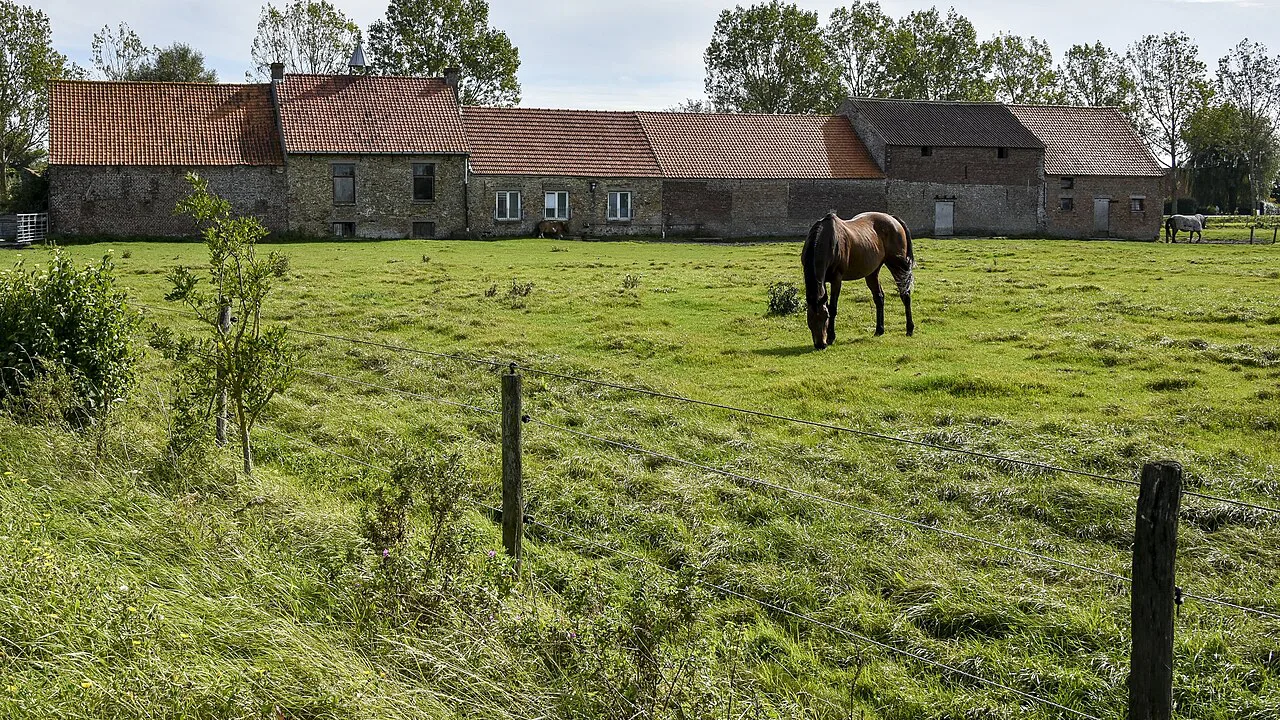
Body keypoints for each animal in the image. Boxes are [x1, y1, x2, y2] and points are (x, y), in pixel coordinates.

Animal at [801, 211, 914, 350]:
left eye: (825, 317)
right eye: (809, 319)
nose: (820, 345)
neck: (828, 240)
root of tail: (893, 219)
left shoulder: (836, 279)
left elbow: (833, 307)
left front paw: (831, 337)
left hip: (897, 266)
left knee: (905, 294)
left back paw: (909, 329)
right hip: (872, 272)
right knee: (879, 297)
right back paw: (879, 330)